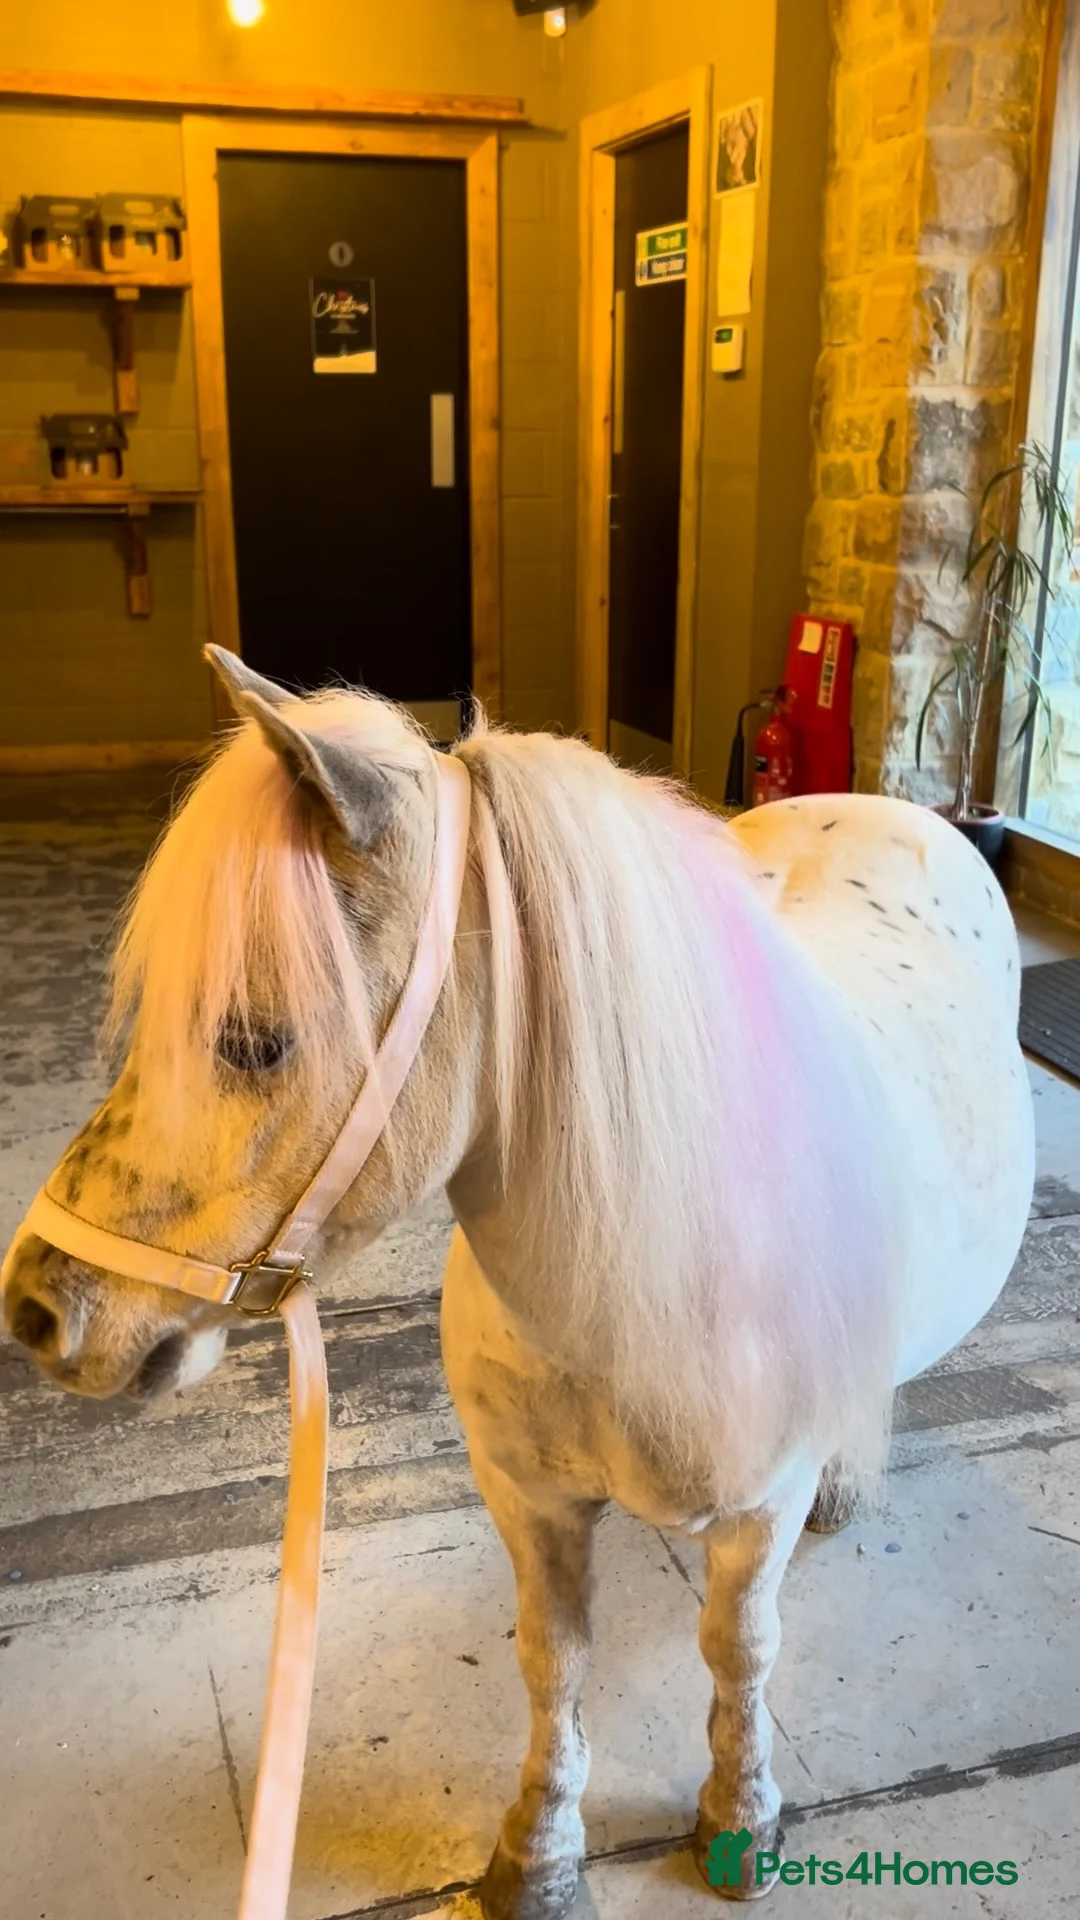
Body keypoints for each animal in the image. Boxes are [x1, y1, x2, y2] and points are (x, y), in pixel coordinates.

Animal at [1, 646, 1034, 1914]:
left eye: (251, 1040)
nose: (37, 1310)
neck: (635, 1288)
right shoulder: (530, 1501)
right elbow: (554, 1661)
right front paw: (539, 1850)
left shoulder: (758, 1513)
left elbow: (740, 1650)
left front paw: (740, 1818)